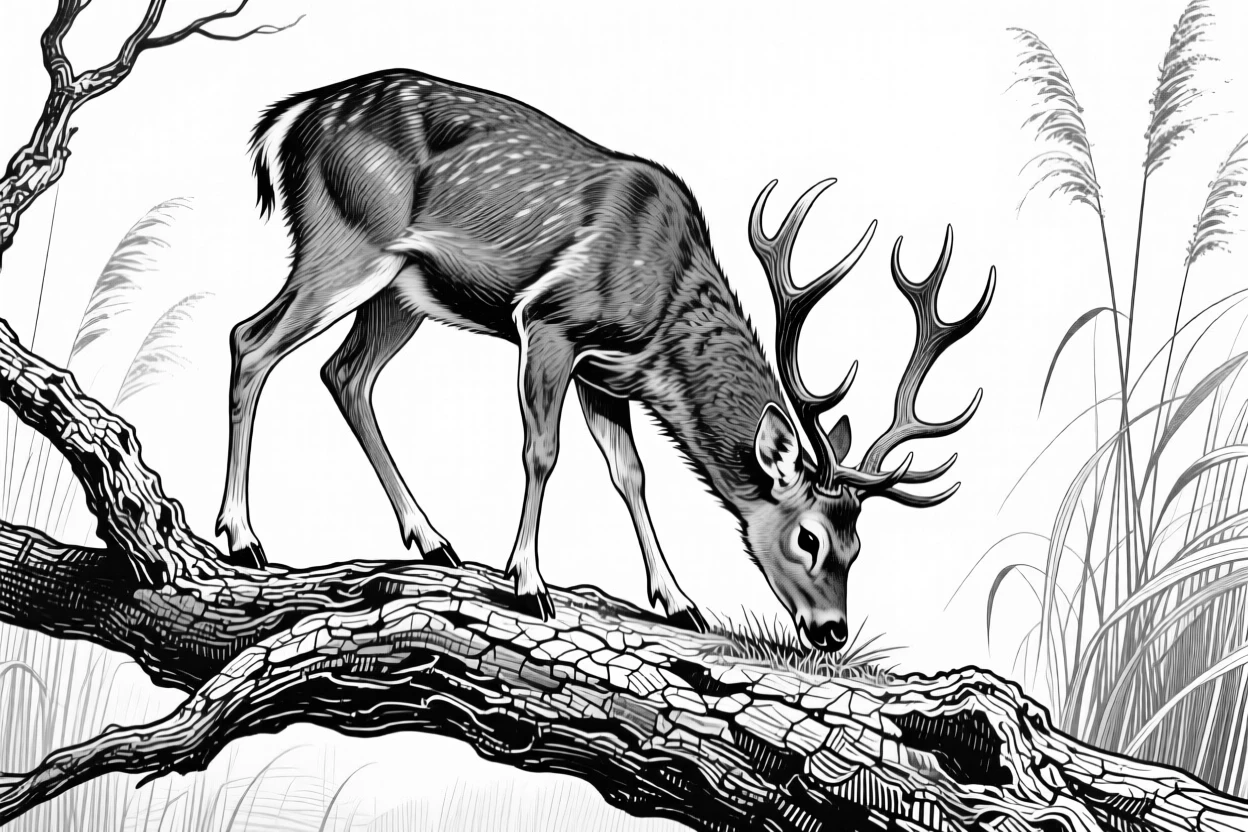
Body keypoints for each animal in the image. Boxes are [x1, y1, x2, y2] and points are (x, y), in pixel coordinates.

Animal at [217, 69, 994, 651]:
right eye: (808, 538)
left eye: (858, 547)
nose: (831, 631)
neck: (664, 307)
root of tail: (288, 118)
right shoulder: (549, 321)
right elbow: (541, 451)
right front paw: (528, 582)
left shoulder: (609, 375)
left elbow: (631, 475)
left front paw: (678, 601)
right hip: (345, 242)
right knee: (250, 340)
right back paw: (242, 537)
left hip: (402, 292)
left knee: (343, 373)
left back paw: (432, 539)